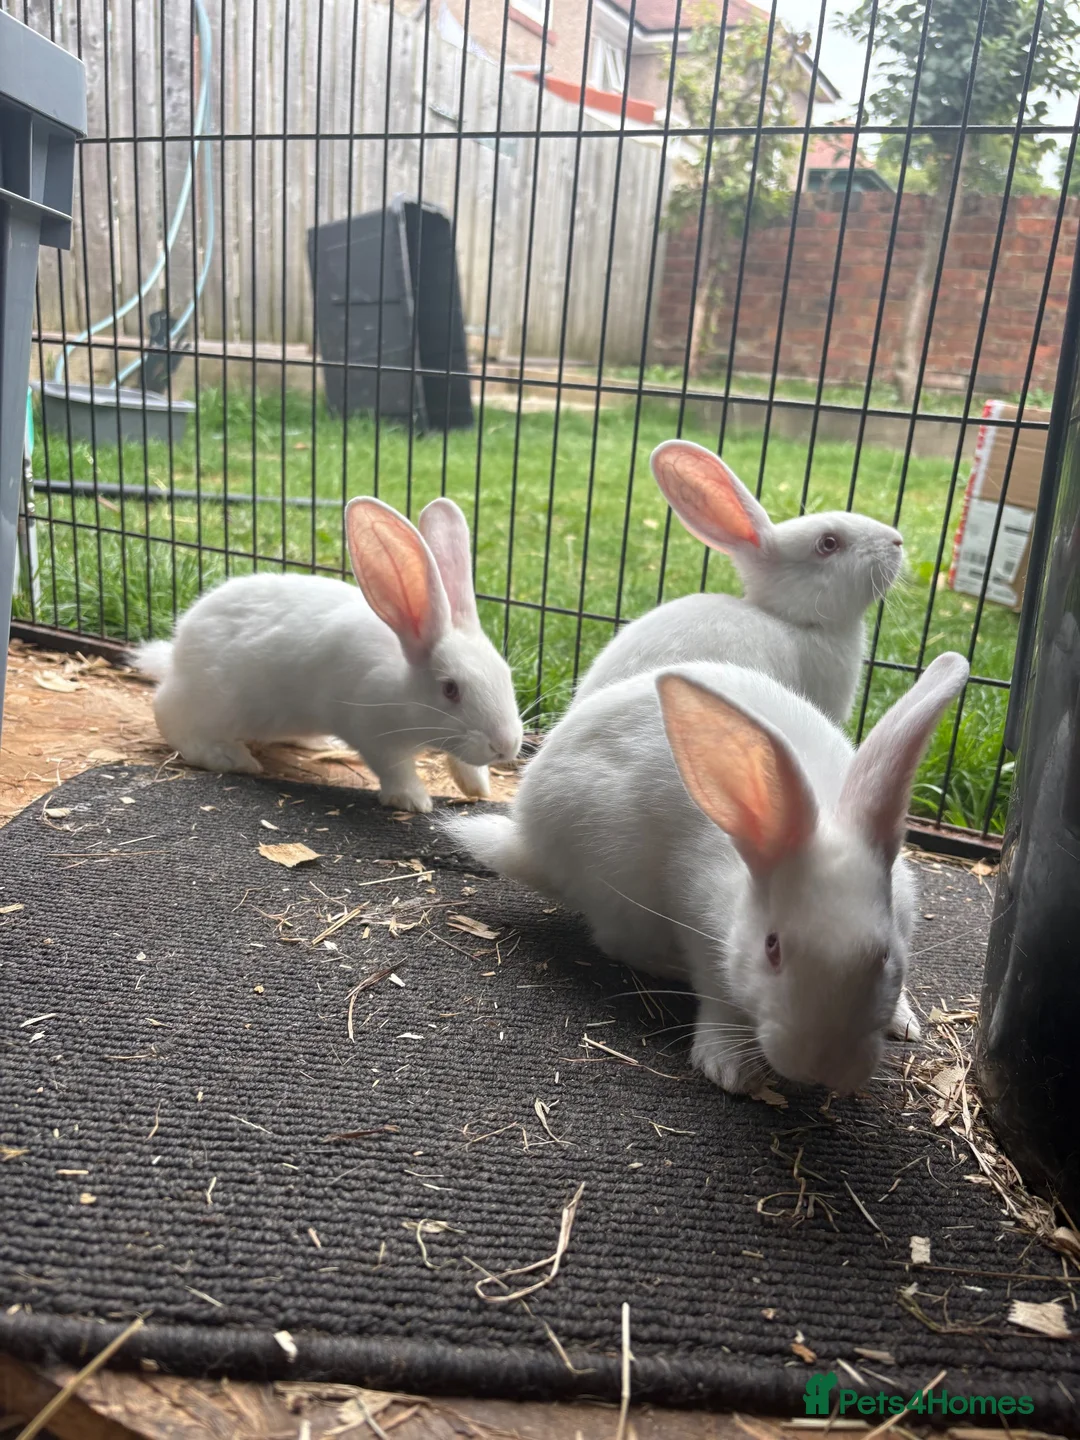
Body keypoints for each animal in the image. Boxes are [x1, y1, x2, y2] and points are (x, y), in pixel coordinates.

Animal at [132, 496, 523, 813]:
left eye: (507, 676)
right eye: (450, 689)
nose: (506, 747)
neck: (404, 685)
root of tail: (177, 653)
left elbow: (465, 762)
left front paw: (478, 786)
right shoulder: (373, 733)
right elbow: (396, 770)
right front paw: (413, 801)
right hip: (215, 703)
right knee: (169, 716)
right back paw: (231, 757)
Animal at [446, 651, 969, 1094]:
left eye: (884, 957)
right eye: (772, 948)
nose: (822, 1069)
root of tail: (525, 839)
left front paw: (904, 1021)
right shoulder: (702, 931)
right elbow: (718, 994)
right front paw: (728, 1067)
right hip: (612, 881)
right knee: (616, 942)